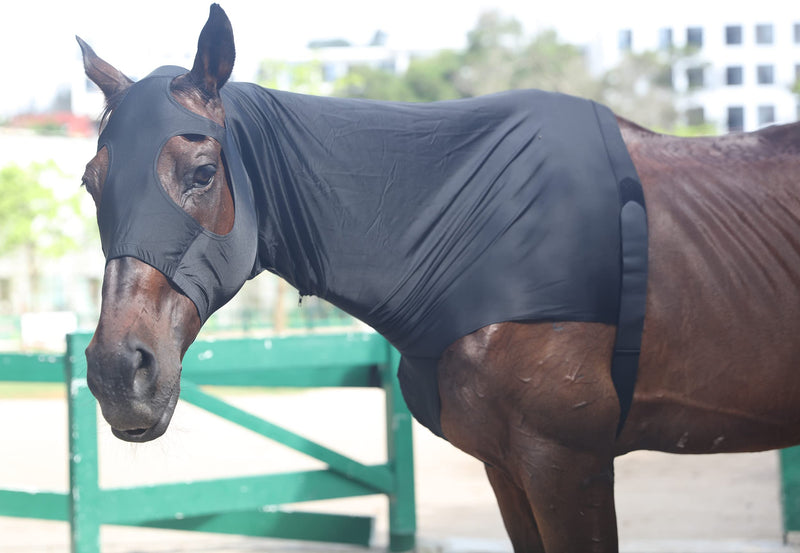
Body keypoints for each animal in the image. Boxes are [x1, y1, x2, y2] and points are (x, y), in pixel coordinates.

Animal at [78, 5, 800, 552]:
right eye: (91, 182)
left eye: (202, 172)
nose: (117, 371)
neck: (495, 241)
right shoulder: (509, 469)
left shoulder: (571, 465)